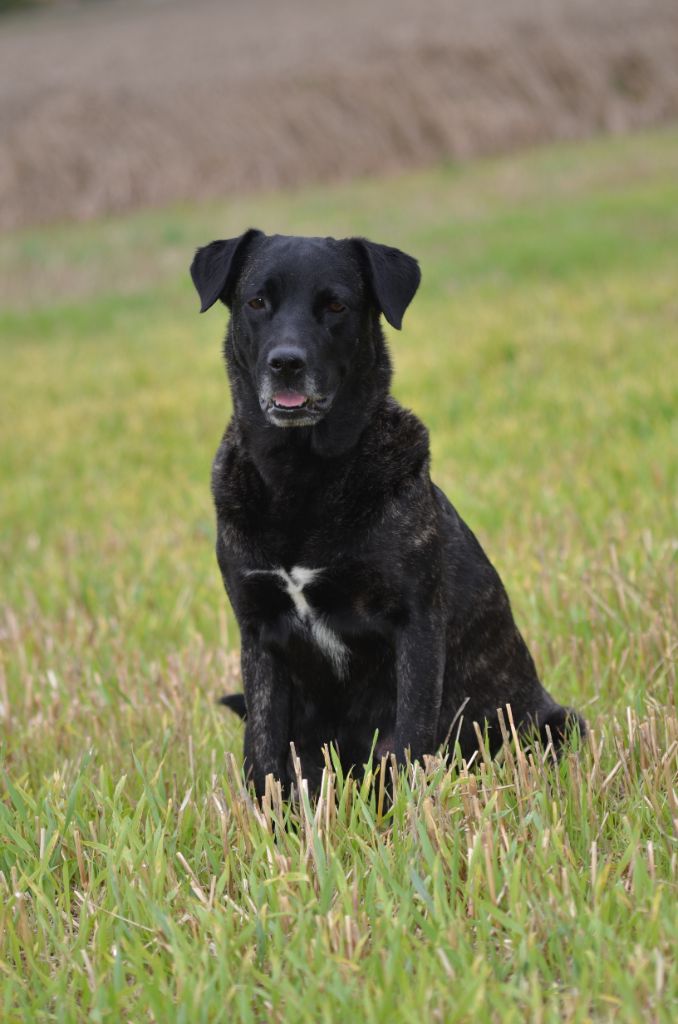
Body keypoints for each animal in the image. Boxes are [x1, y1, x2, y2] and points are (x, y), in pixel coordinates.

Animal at [189, 232, 585, 798]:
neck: (302, 479)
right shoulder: (259, 632)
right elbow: (262, 755)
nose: (286, 362)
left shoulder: (414, 624)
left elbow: (411, 740)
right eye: (257, 302)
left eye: (336, 306)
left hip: (553, 723)